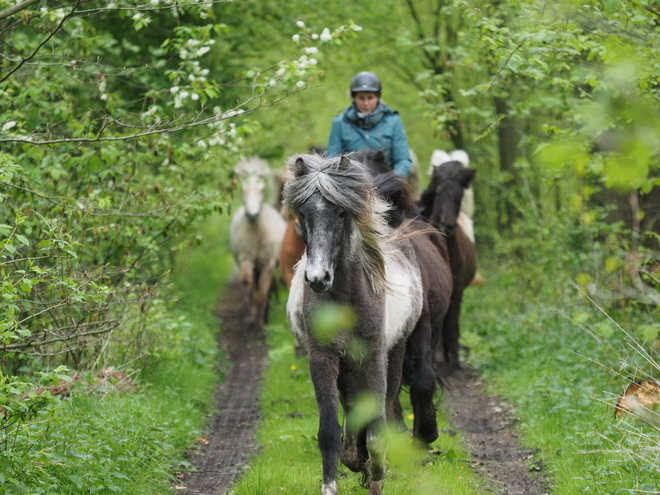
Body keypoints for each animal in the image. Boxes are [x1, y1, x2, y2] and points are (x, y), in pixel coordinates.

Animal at [229, 157, 286, 332]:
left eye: (261, 190)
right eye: (243, 190)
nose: (252, 215)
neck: (257, 234)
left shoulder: (268, 264)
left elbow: (262, 294)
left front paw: (261, 325)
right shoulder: (246, 260)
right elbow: (248, 286)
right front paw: (249, 317)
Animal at [284, 154, 422, 495]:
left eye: (340, 212)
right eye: (303, 213)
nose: (317, 278)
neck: (347, 300)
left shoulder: (374, 357)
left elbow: (376, 433)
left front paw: (376, 475)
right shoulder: (323, 358)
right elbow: (329, 432)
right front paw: (335, 479)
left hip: (394, 354)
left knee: (385, 406)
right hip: (347, 367)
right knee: (351, 409)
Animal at [420, 159, 476, 372]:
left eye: (459, 195)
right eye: (438, 193)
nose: (448, 226)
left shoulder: (457, 291)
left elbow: (451, 325)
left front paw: (455, 362)